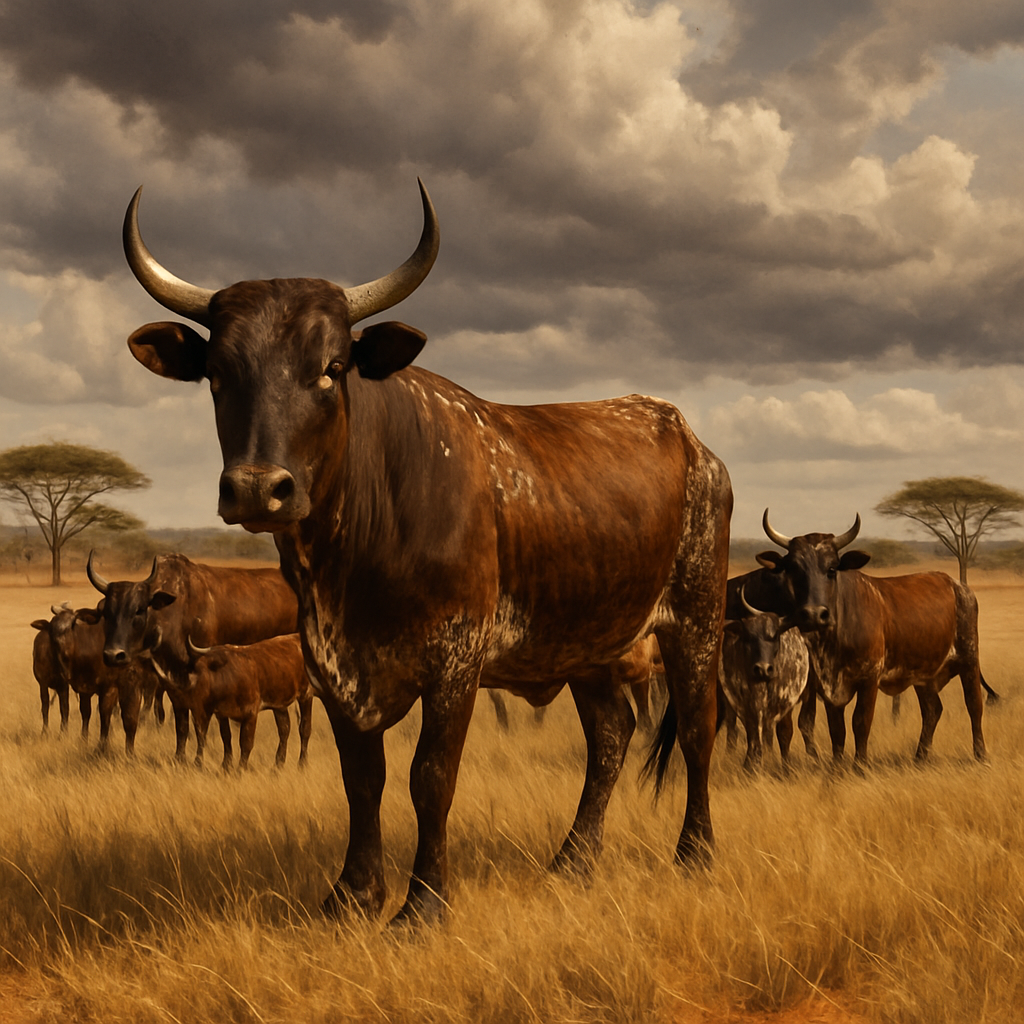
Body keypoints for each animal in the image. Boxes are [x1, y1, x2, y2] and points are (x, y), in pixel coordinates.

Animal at [86, 553, 299, 764]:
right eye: (107, 612)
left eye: (139, 609)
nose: (114, 655)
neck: (178, 613)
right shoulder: (170, 684)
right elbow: (179, 724)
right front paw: (179, 756)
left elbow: (200, 725)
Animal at [180, 633, 313, 770]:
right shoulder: (221, 714)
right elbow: (225, 737)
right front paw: (225, 766)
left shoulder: (250, 713)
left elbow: (246, 743)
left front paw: (240, 769)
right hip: (279, 704)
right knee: (284, 729)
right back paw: (277, 765)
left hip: (305, 695)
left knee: (304, 728)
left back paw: (302, 763)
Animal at [720, 588, 813, 770]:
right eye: (748, 637)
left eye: (775, 637)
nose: (763, 669)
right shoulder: (743, 701)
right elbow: (753, 732)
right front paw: (750, 765)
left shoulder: (787, 698)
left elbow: (784, 732)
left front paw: (786, 767)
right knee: (734, 727)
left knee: (804, 725)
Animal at [753, 510, 990, 765]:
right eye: (794, 569)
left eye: (832, 569)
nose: (814, 614)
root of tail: (957, 585)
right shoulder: (828, 686)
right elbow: (836, 730)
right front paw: (837, 765)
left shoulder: (869, 678)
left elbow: (861, 721)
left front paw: (860, 764)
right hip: (923, 675)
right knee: (932, 710)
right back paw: (920, 756)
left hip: (969, 659)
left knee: (974, 705)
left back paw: (980, 754)